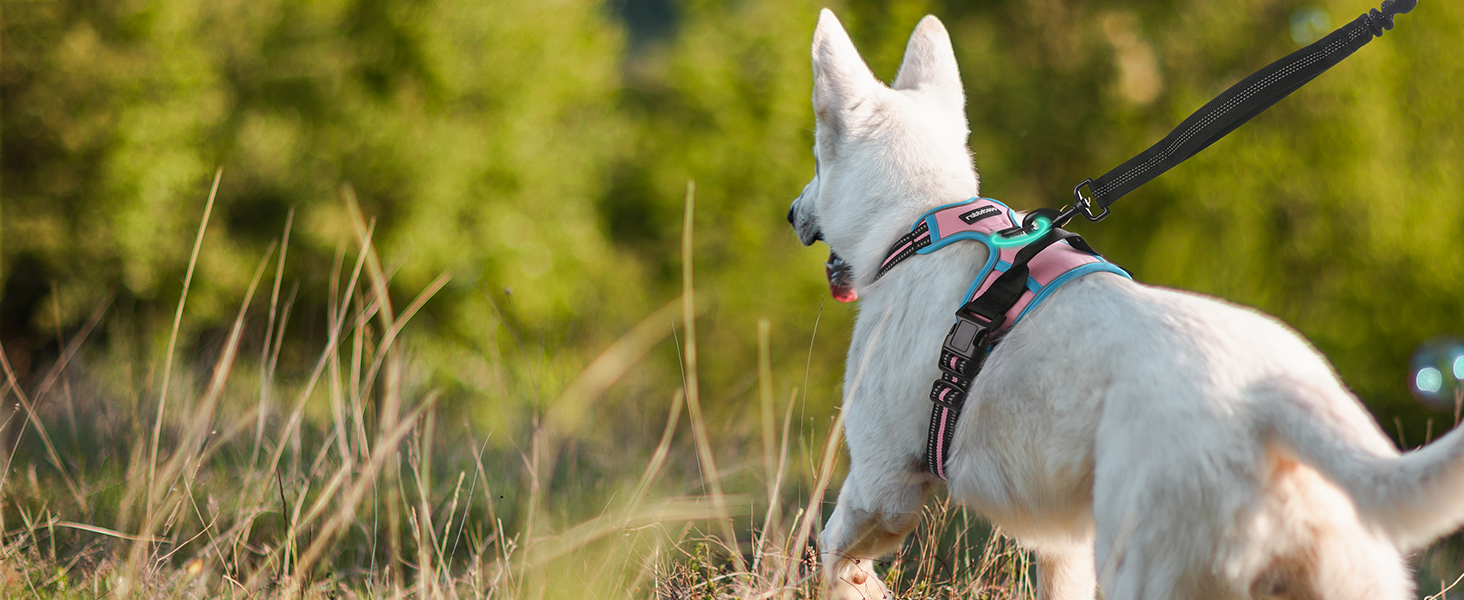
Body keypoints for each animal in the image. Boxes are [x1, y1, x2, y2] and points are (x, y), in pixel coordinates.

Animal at [796, 10, 1464, 600]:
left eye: (817, 160)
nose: (790, 213)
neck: (926, 217)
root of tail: (1277, 397)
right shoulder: (1063, 546)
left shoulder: (883, 486)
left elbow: (832, 549)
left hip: (1143, 563)